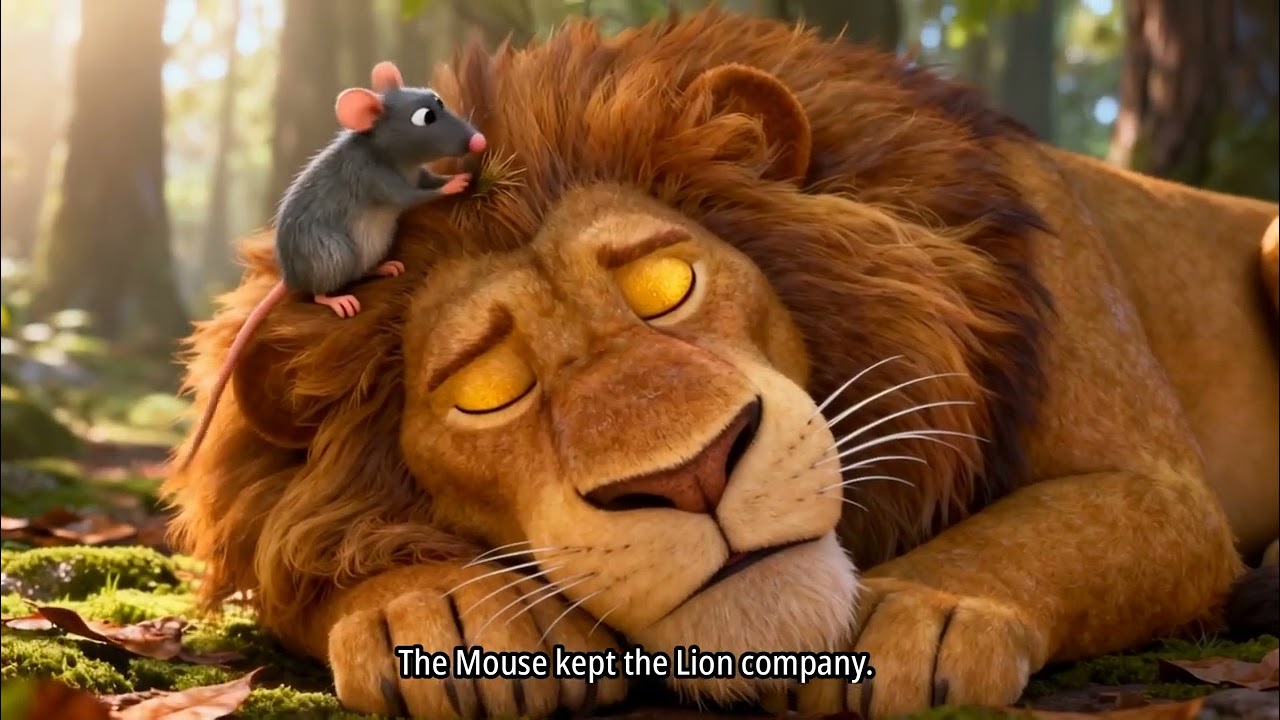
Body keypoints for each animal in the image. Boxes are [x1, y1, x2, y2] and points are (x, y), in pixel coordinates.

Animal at [163, 9, 1280, 719]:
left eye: (664, 284)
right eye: (487, 388)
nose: (690, 474)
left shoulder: (1156, 487)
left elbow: (1047, 530)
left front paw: (918, 615)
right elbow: (301, 561)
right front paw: (437, 608)